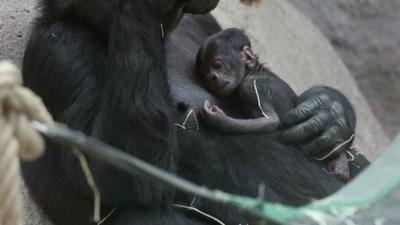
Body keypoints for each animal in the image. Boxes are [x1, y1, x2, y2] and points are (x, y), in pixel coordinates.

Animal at [196, 28, 350, 183]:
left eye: (218, 65)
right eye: (204, 74)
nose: (211, 78)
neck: (251, 72)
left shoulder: (251, 88)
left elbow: (271, 121)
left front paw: (216, 118)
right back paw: (341, 165)